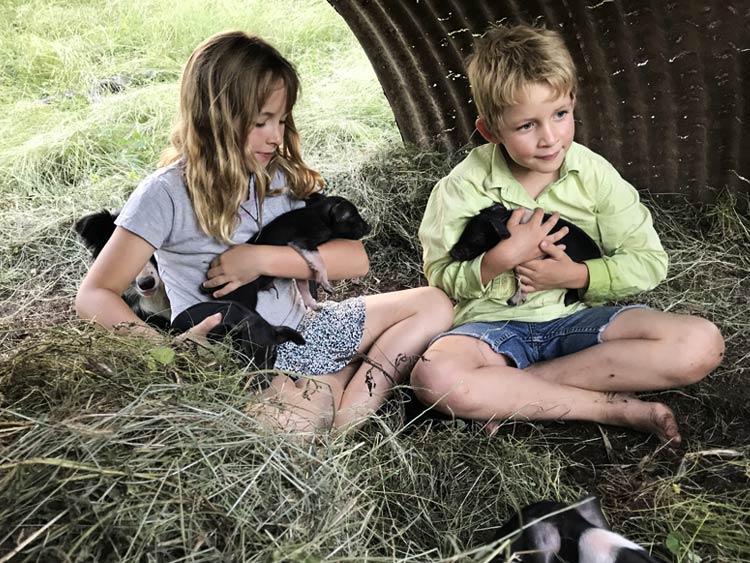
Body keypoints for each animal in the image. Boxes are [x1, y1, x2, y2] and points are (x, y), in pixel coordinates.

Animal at [450, 203, 604, 306]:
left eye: (477, 238)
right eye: (464, 230)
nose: (451, 252)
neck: (505, 220)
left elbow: (520, 280)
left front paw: (513, 301)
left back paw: (567, 300)